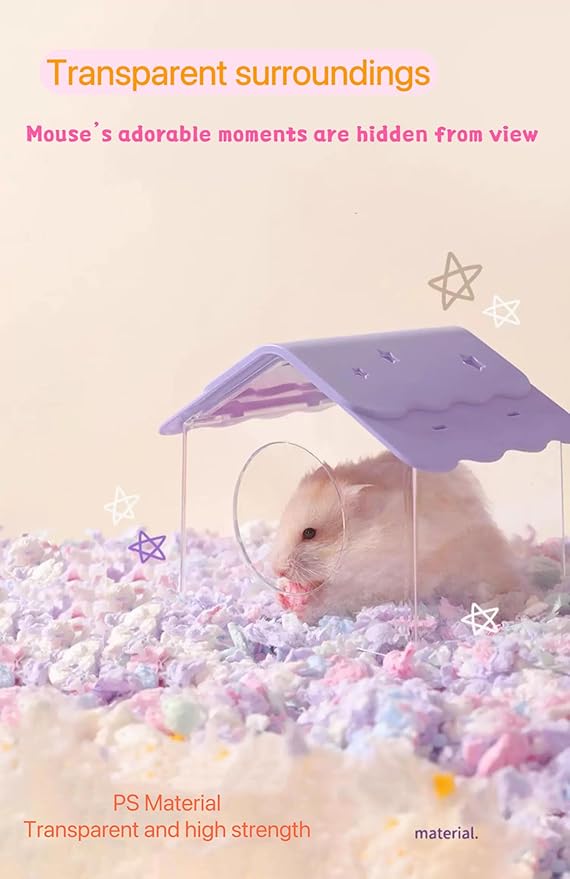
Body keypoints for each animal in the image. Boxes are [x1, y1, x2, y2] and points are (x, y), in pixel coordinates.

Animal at [269, 452, 527, 624]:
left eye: (309, 533)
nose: (277, 570)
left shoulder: (376, 584)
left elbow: (333, 598)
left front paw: (299, 604)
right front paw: (282, 595)